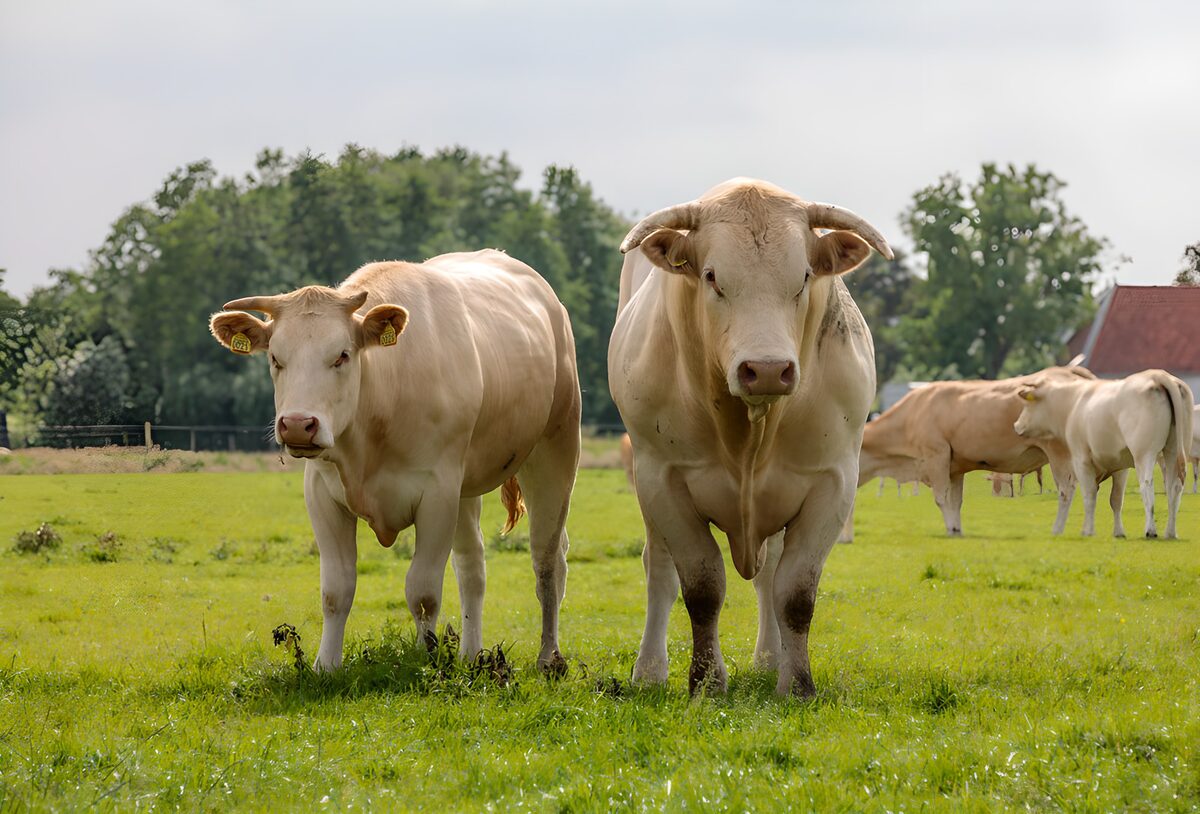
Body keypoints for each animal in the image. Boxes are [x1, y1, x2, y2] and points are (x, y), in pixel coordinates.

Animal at [209, 251, 581, 673]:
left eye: (342, 355)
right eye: (275, 358)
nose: (298, 425)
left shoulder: (437, 495)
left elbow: (422, 591)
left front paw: (427, 658)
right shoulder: (322, 494)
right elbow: (336, 590)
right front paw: (326, 666)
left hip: (555, 446)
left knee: (548, 559)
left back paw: (549, 657)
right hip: (466, 487)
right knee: (472, 566)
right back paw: (472, 655)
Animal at [609, 178, 892, 697]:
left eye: (804, 277)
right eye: (712, 277)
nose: (766, 370)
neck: (748, 430)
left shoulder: (833, 482)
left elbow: (795, 593)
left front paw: (796, 683)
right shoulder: (663, 480)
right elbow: (701, 589)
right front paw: (705, 682)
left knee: (769, 575)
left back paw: (769, 658)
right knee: (659, 572)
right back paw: (650, 670)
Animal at [841, 366, 1096, 541]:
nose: (844, 539)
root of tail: (1066, 370)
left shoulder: (936, 456)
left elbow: (941, 498)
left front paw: (949, 529)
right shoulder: (955, 468)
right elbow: (955, 501)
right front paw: (956, 529)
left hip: (1058, 452)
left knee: (1067, 490)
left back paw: (1057, 529)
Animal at [1014, 369, 1193, 538]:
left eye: (1027, 404)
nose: (1016, 425)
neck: (1073, 402)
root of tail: (1157, 375)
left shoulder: (1081, 458)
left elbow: (1089, 495)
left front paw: (1088, 531)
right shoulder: (1121, 465)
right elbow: (1116, 499)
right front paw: (1118, 532)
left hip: (1144, 453)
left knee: (1147, 485)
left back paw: (1151, 531)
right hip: (1174, 449)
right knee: (1174, 486)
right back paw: (1170, 532)